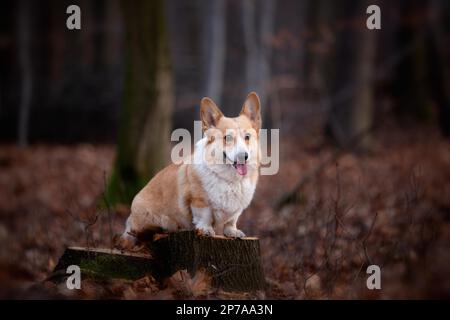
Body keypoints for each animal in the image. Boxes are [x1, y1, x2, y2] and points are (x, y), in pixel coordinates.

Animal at [118, 91, 262, 249]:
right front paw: (206, 230)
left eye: (247, 137)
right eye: (228, 138)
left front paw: (233, 232)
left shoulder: (236, 210)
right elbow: (204, 216)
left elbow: (231, 221)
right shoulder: (199, 201)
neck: (230, 179)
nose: (244, 156)